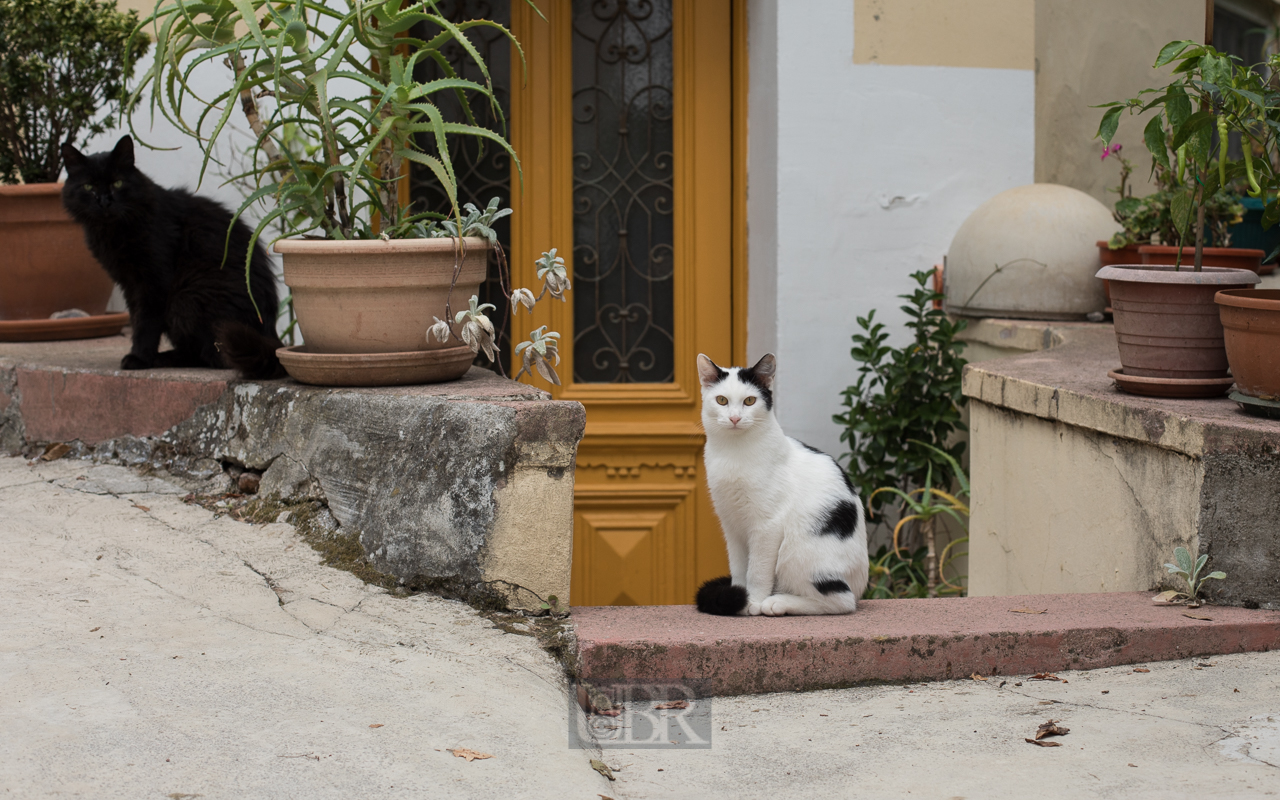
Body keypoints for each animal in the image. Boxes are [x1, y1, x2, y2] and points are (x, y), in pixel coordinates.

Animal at [63, 134, 285, 376]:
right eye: (88, 186)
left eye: (117, 183)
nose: (104, 201)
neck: (112, 231)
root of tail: (271, 337)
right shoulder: (129, 283)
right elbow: (136, 318)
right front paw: (141, 356)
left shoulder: (153, 281)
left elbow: (146, 322)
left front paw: (139, 358)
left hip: (186, 297)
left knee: (212, 356)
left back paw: (163, 358)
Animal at [701, 353, 870, 614]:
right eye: (721, 400)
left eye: (749, 401)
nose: (735, 418)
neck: (733, 452)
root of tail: (860, 584)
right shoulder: (732, 525)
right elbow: (739, 568)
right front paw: (737, 596)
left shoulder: (767, 525)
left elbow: (757, 570)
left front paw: (753, 601)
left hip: (799, 551)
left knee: (842, 601)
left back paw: (778, 602)